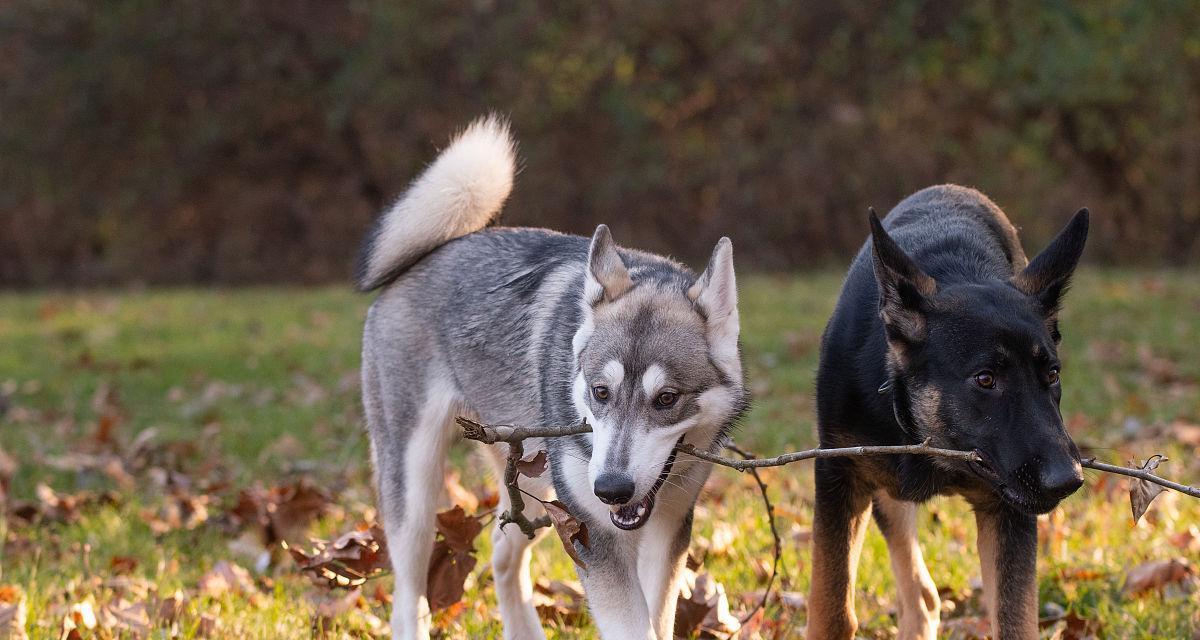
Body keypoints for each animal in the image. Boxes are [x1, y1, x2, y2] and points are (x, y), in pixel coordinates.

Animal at [357, 115, 748, 638]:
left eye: (667, 399)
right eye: (600, 393)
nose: (612, 489)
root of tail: (431, 253)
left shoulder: (668, 527)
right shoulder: (594, 535)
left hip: (533, 485)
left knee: (503, 553)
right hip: (417, 495)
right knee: (407, 597)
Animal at [811, 182, 1094, 633]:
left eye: (1051, 374)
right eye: (985, 379)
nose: (1068, 480)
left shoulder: (1006, 509)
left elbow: (1014, 620)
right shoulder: (840, 474)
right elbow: (832, 610)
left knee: (922, 598)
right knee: (918, 592)